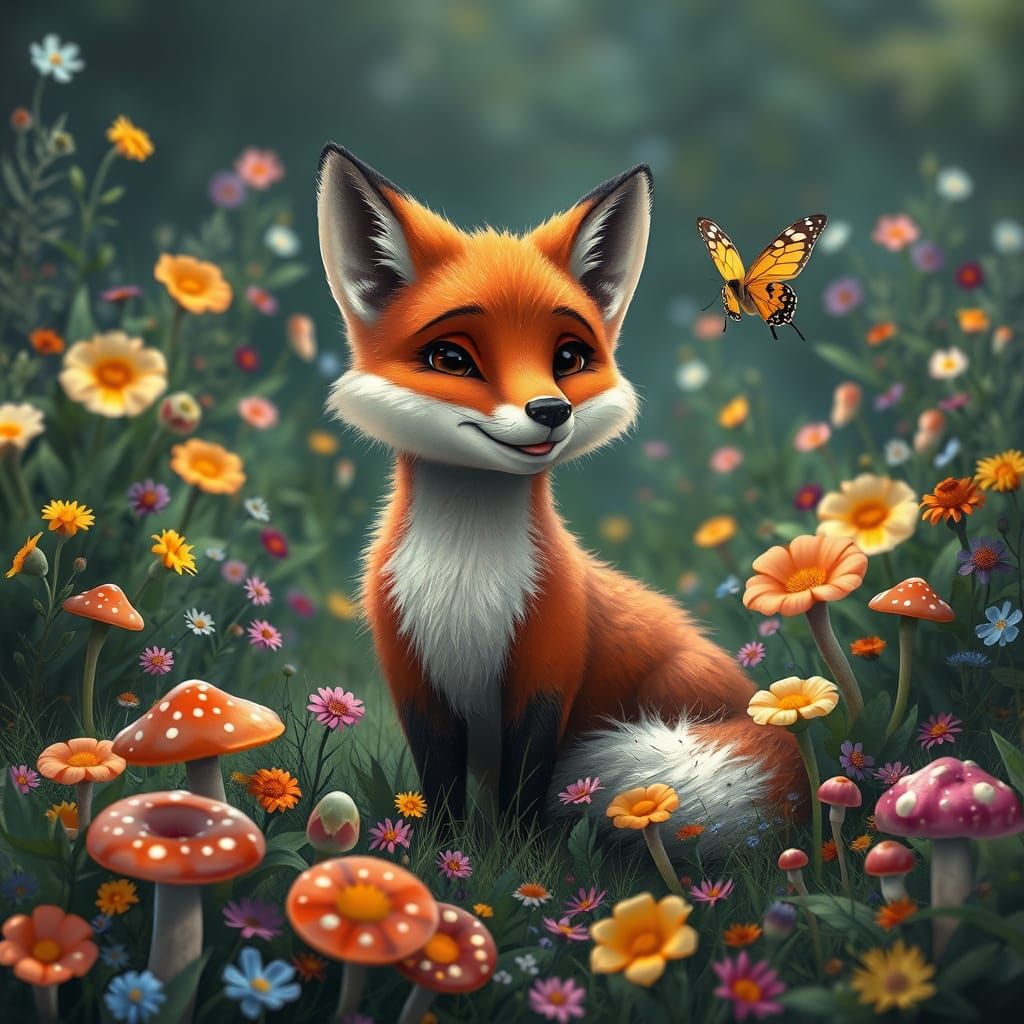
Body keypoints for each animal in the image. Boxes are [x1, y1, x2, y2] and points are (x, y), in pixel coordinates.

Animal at [316, 144, 806, 843]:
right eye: (451, 359)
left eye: (569, 358)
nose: (550, 410)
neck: (467, 579)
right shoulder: (415, 683)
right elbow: (440, 794)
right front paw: (441, 854)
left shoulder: (545, 671)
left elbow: (526, 790)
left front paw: (519, 855)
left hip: (673, 688)